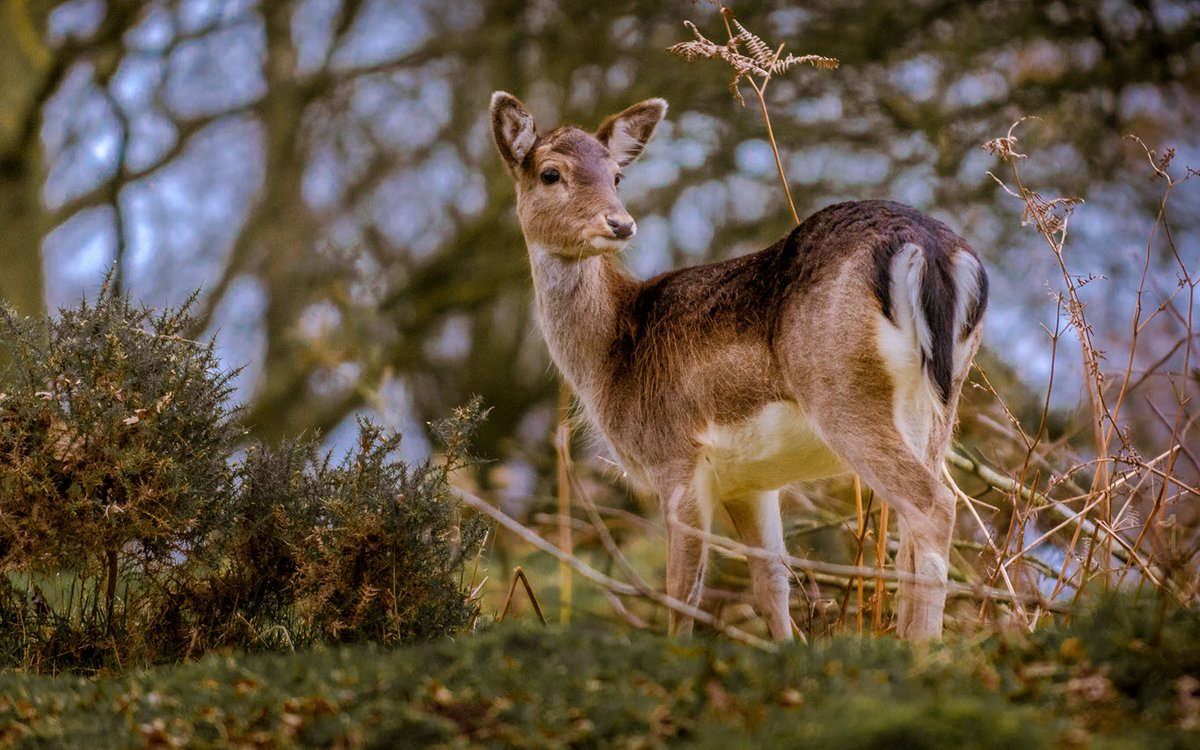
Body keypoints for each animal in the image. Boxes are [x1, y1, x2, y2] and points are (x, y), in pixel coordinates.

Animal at [489, 91, 988, 641]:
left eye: (616, 176)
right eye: (550, 173)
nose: (619, 224)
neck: (612, 359)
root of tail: (931, 251)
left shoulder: (676, 459)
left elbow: (682, 596)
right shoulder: (750, 482)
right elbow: (771, 584)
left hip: (845, 395)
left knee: (933, 505)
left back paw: (922, 648)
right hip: (941, 405)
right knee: (912, 535)